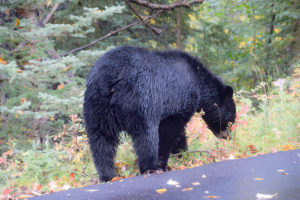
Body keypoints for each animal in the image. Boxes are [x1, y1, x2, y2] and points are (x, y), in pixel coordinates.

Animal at [83, 46, 236, 182]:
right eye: (231, 120)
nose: (228, 137)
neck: (198, 81)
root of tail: (111, 79)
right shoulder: (177, 101)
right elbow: (169, 131)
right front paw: (165, 161)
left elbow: (179, 133)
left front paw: (181, 154)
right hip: (139, 102)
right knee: (146, 137)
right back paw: (150, 167)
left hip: (96, 106)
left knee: (101, 139)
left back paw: (108, 175)